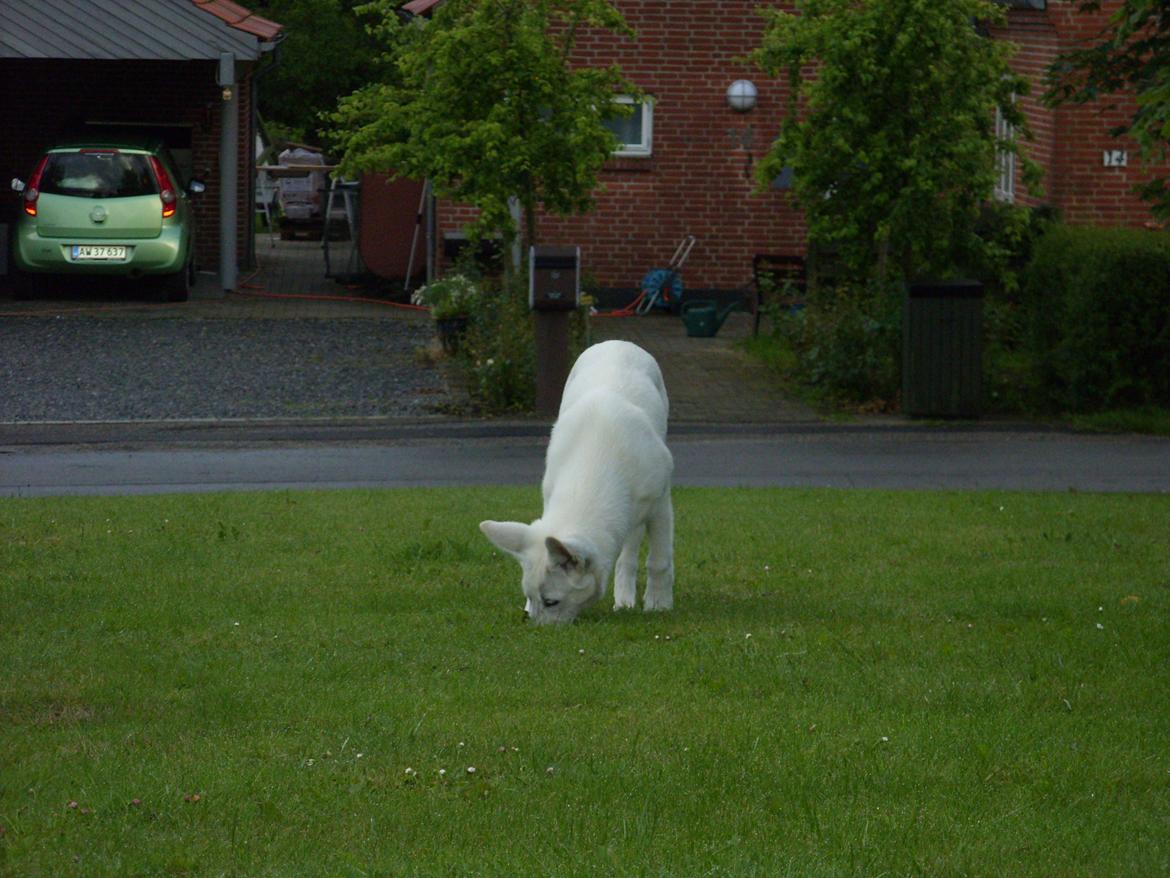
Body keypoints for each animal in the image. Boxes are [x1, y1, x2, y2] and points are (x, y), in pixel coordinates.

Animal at [477, 341, 678, 627]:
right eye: (530, 597)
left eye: (551, 602)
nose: (534, 630)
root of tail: (617, 342)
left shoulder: (660, 505)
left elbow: (658, 561)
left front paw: (659, 605)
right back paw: (624, 600)